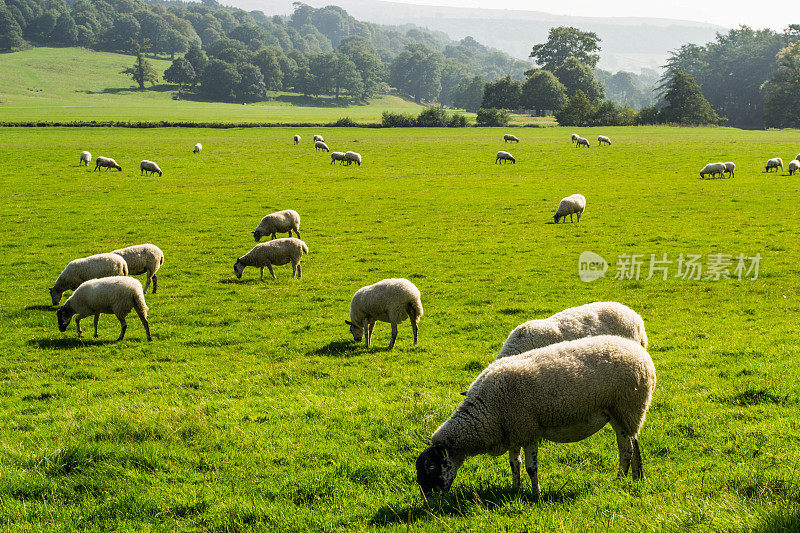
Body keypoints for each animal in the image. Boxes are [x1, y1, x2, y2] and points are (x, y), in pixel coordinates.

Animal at [416, 334, 652, 496]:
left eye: (431, 466)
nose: (429, 501)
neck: (488, 410)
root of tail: (637, 350)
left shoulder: (528, 429)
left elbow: (531, 467)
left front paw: (536, 494)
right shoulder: (513, 432)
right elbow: (515, 464)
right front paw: (515, 489)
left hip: (628, 407)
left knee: (627, 449)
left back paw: (620, 479)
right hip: (619, 413)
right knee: (631, 444)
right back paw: (635, 477)